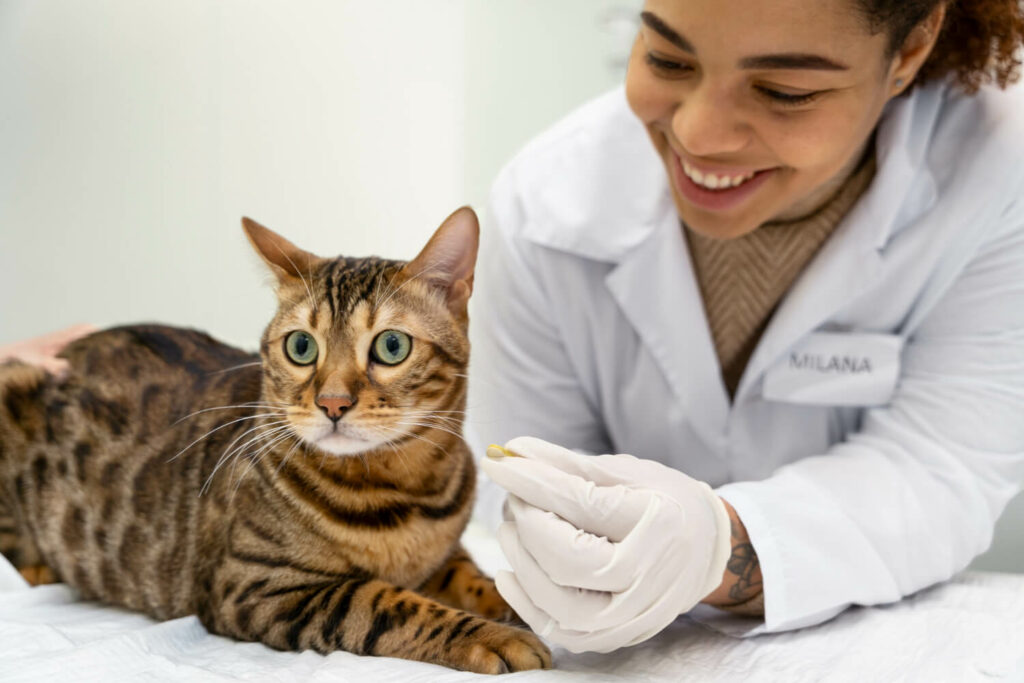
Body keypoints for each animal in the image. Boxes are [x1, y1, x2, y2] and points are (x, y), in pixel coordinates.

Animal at [0, 206, 552, 671]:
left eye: (392, 346)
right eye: (301, 346)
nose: (333, 403)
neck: (406, 489)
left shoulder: (441, 556)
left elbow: (477, 578)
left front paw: (519, 604)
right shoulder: (257, 585)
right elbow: (385, 602)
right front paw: (493, 635)